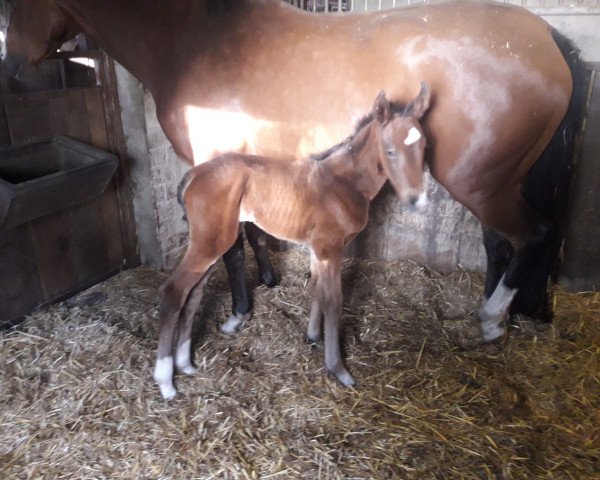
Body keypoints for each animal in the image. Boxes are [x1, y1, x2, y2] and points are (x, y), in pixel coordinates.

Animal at [4, 0, 584, 344]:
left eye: (19, 2)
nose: (12, 73)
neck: (194, 38)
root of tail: (548, 43)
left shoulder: (213, 161)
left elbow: (231, 245)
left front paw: (239, 311)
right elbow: (255, 231)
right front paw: (269, 279)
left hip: (481, 185)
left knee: (532, 235)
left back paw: (492, 317)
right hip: (496, 183)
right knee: (500, 243)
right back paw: (489, 318)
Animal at [152, 87, 428, 402]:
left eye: (424, 147)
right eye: (390, 150)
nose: (417, 201)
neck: (343, 183)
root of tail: (193, 175)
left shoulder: (318, 249)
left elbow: (317, 288)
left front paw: (313, 336)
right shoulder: (330, 248)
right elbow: (334, 301)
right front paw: (338, 369)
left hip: (212, 243)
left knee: (194, 293)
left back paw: (184, 363)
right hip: (209, 244)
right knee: (173, 291)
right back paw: (166, 381)